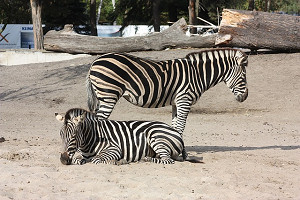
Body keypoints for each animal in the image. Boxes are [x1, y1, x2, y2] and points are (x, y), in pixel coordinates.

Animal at [54, 108, 185, 165]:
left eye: (73, 136)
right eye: (61, 135)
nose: (63, 159)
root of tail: (176, 132)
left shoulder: (114, 149)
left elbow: (95, 159)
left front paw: (117, 161)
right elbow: (77, 159)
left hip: (155, 137)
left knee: (168, 160)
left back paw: (144, 159)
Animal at [86, 47, 248, 134]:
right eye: (243, 76)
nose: (245, 97)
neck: (197, 74)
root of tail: (95, 61)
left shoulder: (177, 102)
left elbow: (176, 127)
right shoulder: (185, 100)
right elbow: (181, 126)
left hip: (102, 97)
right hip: (109, 95)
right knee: (97, 122)